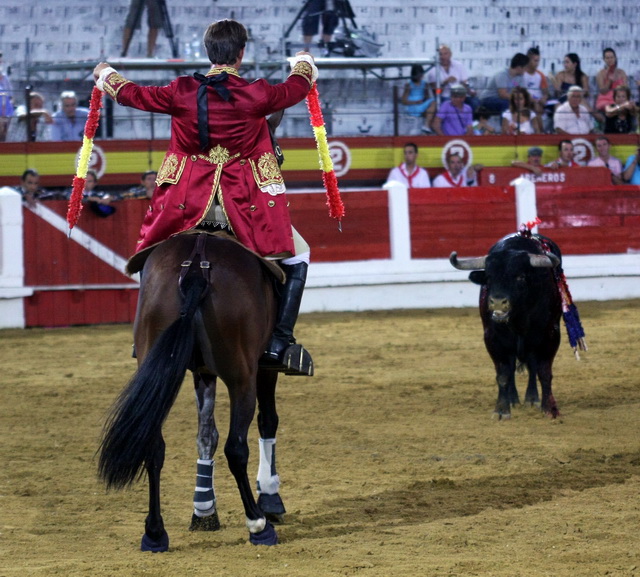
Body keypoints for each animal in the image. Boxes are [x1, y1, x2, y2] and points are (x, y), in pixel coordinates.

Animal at [98, 231, 288, 548]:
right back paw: (258, 523)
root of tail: (198, 267)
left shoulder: (203, 373)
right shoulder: (262, 368)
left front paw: (204, 510)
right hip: (242, 377)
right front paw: (270, 497)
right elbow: (267, 421)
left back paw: (155, 532)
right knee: (237, 448)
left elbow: (206, 435)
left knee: (154, 446)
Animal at [448, 233, 564, 418]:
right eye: (488, 277)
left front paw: (550, 408)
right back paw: (514, 400)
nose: (497, 302)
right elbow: (503, 374)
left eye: (520, 277)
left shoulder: (551, 336)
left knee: (532, 367)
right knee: (511, 369)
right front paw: (501, 410)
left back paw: (532, 399)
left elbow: (544, 372)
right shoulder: (493, 339)